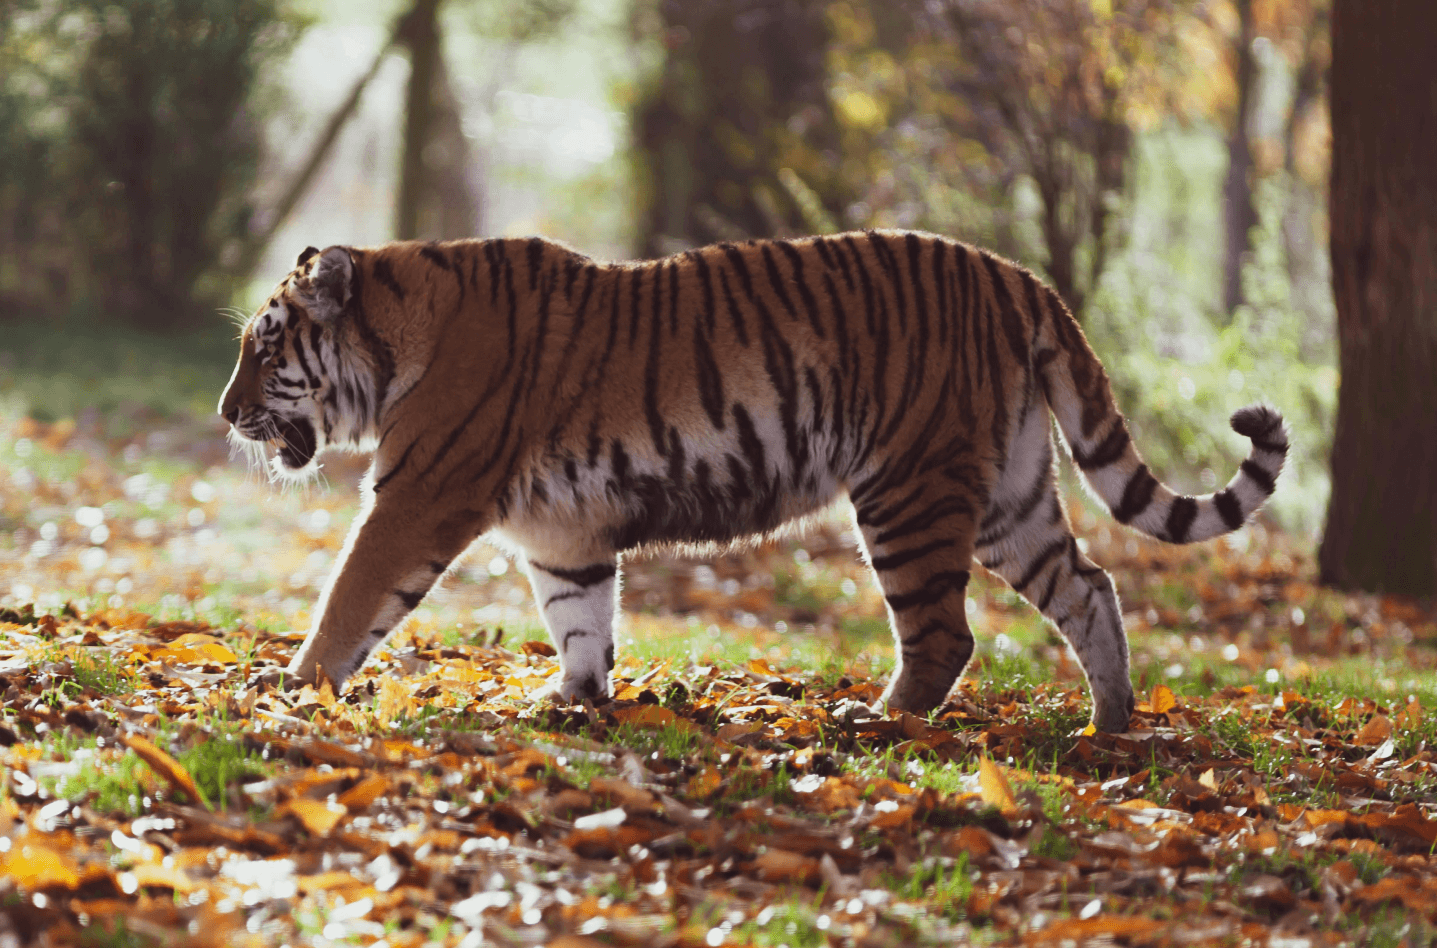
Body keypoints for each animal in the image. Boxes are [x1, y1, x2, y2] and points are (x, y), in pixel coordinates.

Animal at [221, 231, 1293, 732]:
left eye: (263, 351)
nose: (226, 415)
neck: (397, 334)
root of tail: (1015, 275)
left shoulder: (418, 496)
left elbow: (350, 596)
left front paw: (293, 686)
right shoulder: (562, 534)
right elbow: (580, 619)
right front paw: (572, 701)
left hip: (907, 490)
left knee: (945, 633)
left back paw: (878, 723)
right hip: (1009, 497)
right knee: (1089, 586)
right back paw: (1108, 725)